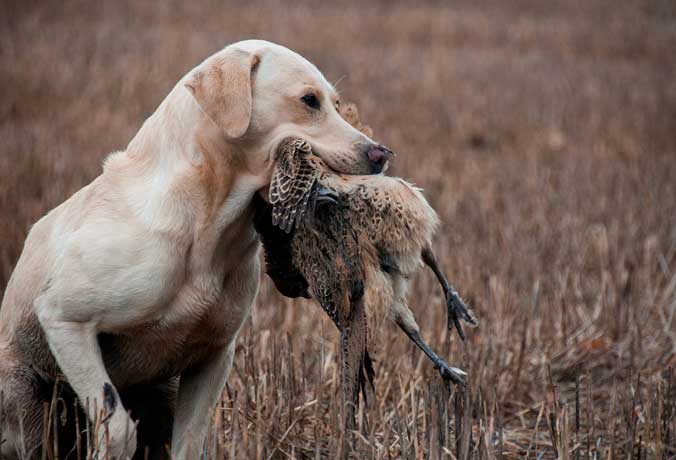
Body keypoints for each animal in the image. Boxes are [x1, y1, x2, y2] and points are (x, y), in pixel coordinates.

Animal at [0, 40, 390, 460]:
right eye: (309, 100)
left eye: (336, 102)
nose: (381, 154)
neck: (206, 223)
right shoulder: (65, 319)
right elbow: (117, 425)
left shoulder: (213, 356)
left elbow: (190, 441)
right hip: (25, 402)